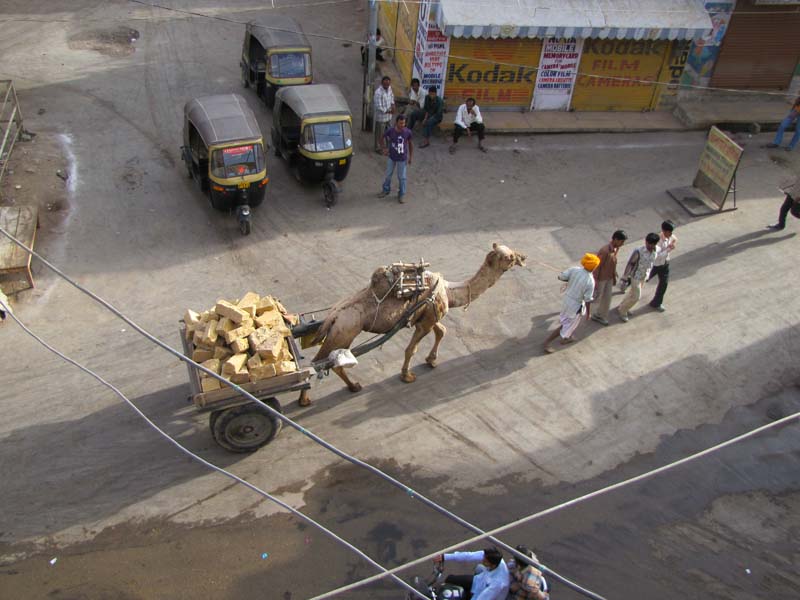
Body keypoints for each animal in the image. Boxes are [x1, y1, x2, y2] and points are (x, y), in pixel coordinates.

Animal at [310, 244, 528, 394]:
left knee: (321, 362)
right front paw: (407, 376)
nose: (523, 257)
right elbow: (411, 349)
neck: (448, 291)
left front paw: (431, 361)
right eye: (508, 257)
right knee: (323, 363)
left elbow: (442, 331)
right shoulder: (425, 322)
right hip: (344, 332)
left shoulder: (427, 315)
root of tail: (332, 316)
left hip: (336, 333)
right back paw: (351, 387)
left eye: (511, 252)